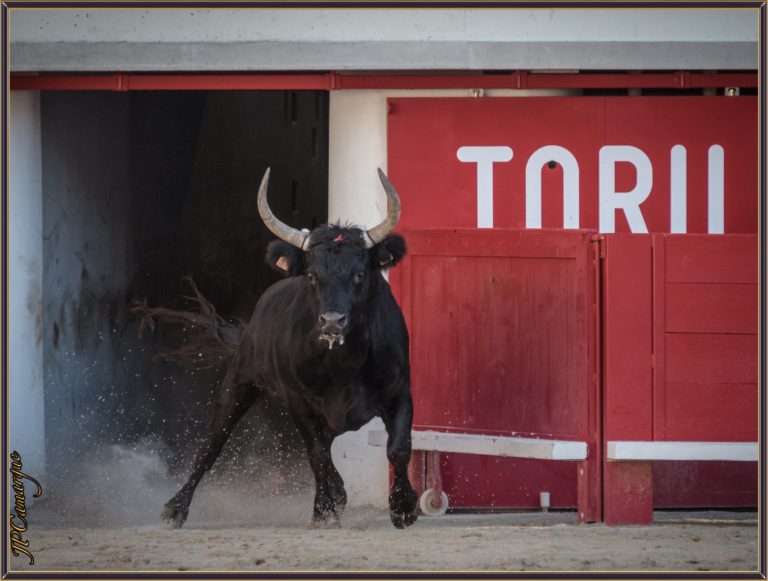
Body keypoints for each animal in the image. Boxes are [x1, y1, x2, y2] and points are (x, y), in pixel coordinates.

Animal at [158, 169, 416, 532]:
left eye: (360, 274)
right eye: (311, 275)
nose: (332, 321)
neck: (345, 364)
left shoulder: (400, 391)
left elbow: (398, 448)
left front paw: (404, 508)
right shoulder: (299, 402)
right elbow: (317, 456)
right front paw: (326, 510)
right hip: (239, 383)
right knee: (212, 443)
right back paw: (175, 507)